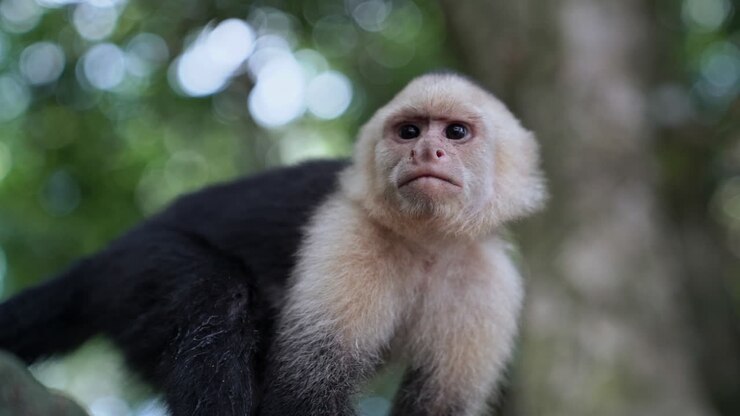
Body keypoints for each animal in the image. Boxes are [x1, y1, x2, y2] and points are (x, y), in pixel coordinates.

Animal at [0, 73, 545, 416]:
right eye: (408, 131)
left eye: (456, 132)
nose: (425, 151)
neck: (426, 242)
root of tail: (107, 254)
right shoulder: (349, 235)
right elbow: (305, 393)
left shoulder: (489, 281)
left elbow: (439, 404)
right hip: (139, 264)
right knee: (214, 297)